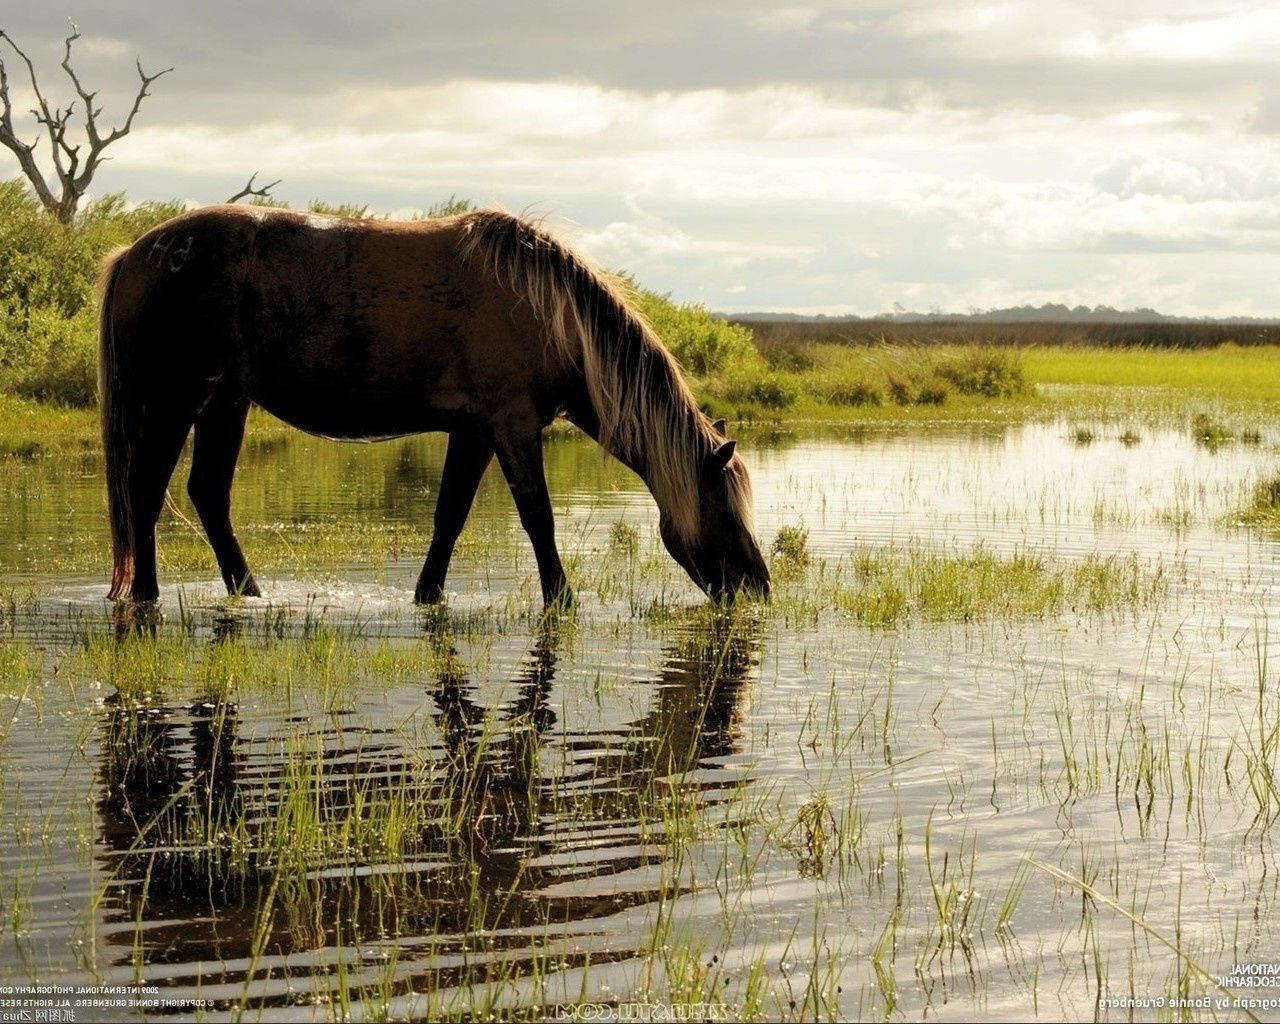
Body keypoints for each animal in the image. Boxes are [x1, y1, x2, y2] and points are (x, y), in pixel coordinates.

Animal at [97, 207, 768, 609]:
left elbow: (449, 518)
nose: (759, 586)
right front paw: (562, 601)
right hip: (176, 401)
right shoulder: (512, 426)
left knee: (207, 493)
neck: (548, 312)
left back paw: (249, 591)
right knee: (146, 491)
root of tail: (133, 254)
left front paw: (429, 596)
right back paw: (147, 596)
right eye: (724, 507)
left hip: (225, 402)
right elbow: (539, 519)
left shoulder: (473, 432)